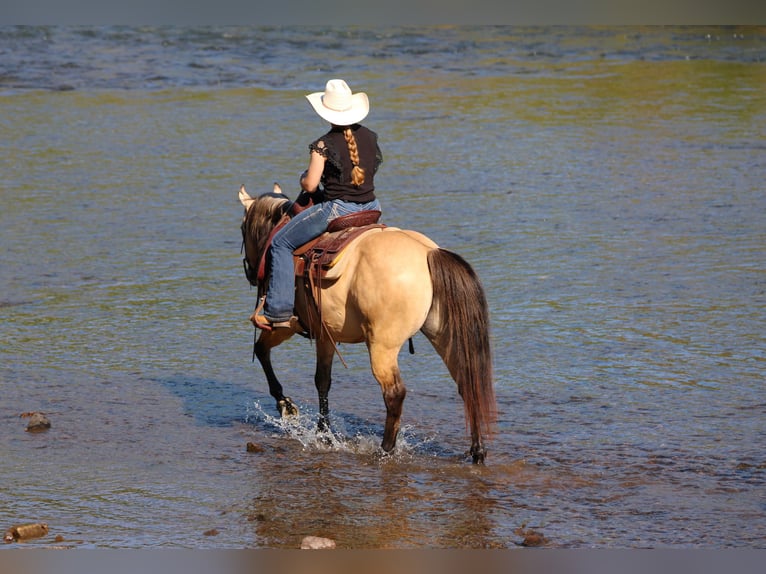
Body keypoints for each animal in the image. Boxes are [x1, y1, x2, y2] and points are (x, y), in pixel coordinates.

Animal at [239, 184, 496, 463]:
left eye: (242, 228)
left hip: (382, 346)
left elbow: (263, 351)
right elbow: (323, 381)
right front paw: (323, 433)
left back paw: (385, 449)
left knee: (394, 394)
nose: (250, 272)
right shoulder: (325, 334)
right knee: (467, 383)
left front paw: (287, 407)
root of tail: (428, 253)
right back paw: (477, 451)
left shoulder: (287, 325)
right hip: (442, 334)